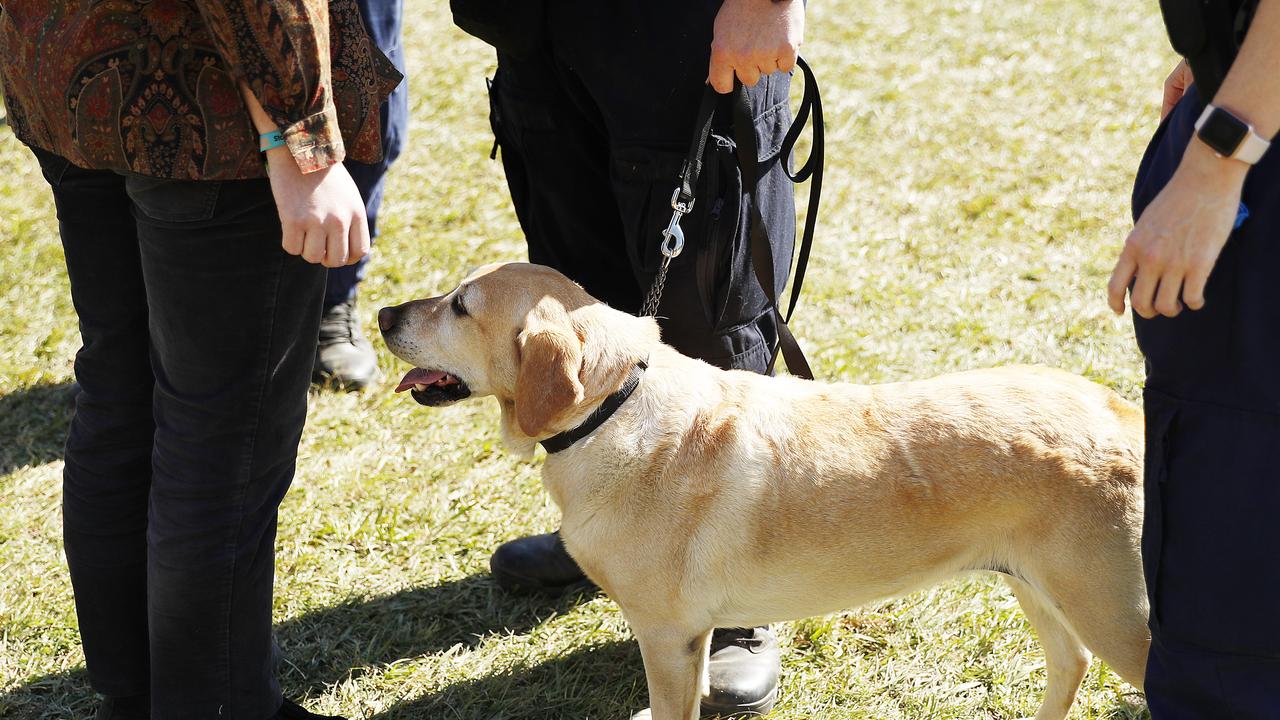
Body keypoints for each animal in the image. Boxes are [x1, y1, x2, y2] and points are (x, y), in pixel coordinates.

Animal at [376, 260, 1152, 712]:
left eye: (461, 307)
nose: (383, 314)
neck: (614, 406)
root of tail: (1126, 413)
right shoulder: (680, 640)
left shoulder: (669, 638)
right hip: (1040, 587)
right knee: (1071, 665)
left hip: (1115, 611)